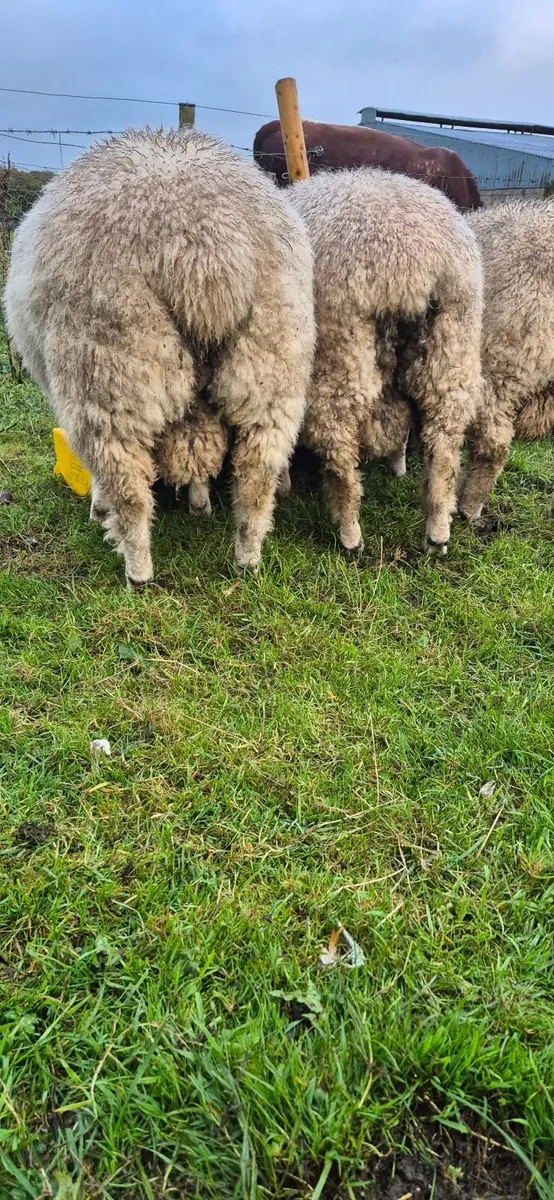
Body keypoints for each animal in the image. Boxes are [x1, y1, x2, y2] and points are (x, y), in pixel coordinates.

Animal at [3, 129, 314, 583]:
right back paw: (248, 556)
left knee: (128, 486)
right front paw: (199, 502)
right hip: (272, 355)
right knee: (258, 473)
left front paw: (101, 507)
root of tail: (204, 248)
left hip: (111, 363)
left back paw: (137, 568)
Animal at [288, 169, 483, 554]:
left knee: (339, 444)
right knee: (444, 448)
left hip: (342, 348)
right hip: (452, 347)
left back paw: (350, 534)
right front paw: (398, 465)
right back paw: (438, 532)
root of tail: (410, 264)